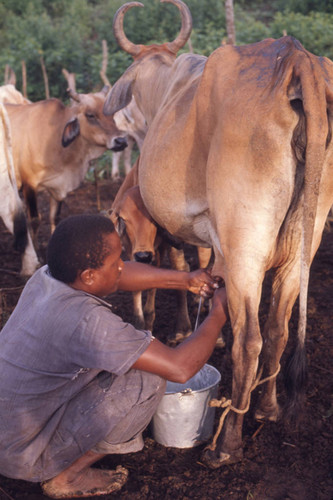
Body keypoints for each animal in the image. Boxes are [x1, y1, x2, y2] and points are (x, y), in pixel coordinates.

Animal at [4, 85, 127, 232]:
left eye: (112, 115)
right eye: (90, 115)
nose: (121, 141)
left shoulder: (58, 187)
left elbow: (55, 218)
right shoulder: (29, 184)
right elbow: (34, 221)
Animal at [104, 0, 332, 468]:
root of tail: (295, 57)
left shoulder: (188, 233)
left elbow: (177, 266)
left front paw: (178, 329)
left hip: (248, 244)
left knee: (252, 340)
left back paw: (226, 444)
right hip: (302, 245)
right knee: (278, 329)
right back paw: (268, 408)